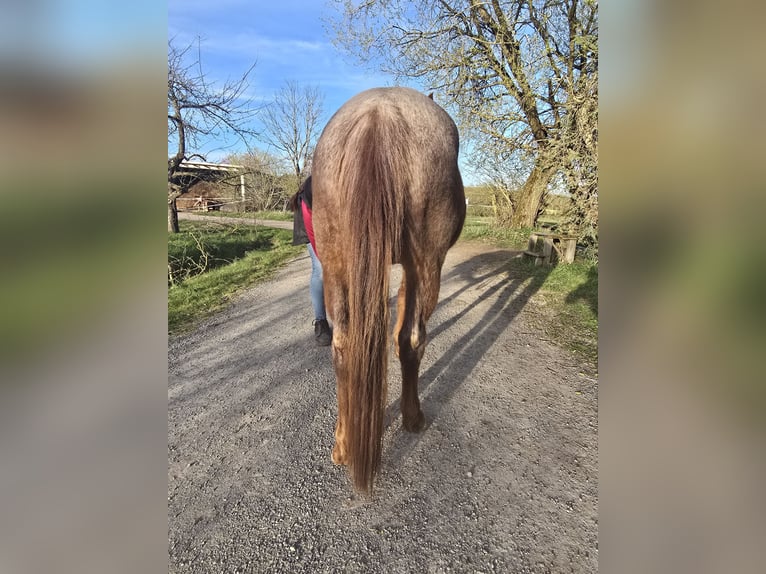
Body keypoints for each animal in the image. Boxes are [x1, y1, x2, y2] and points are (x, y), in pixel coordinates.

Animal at [311, 87, 466, 494]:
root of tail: (379, 114)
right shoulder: (416, 266)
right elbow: (405, 334)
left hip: (336, 263)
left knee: (344, 347)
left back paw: (343, 445)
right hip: (427, 262)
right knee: (412, 338)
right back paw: (412, 418)